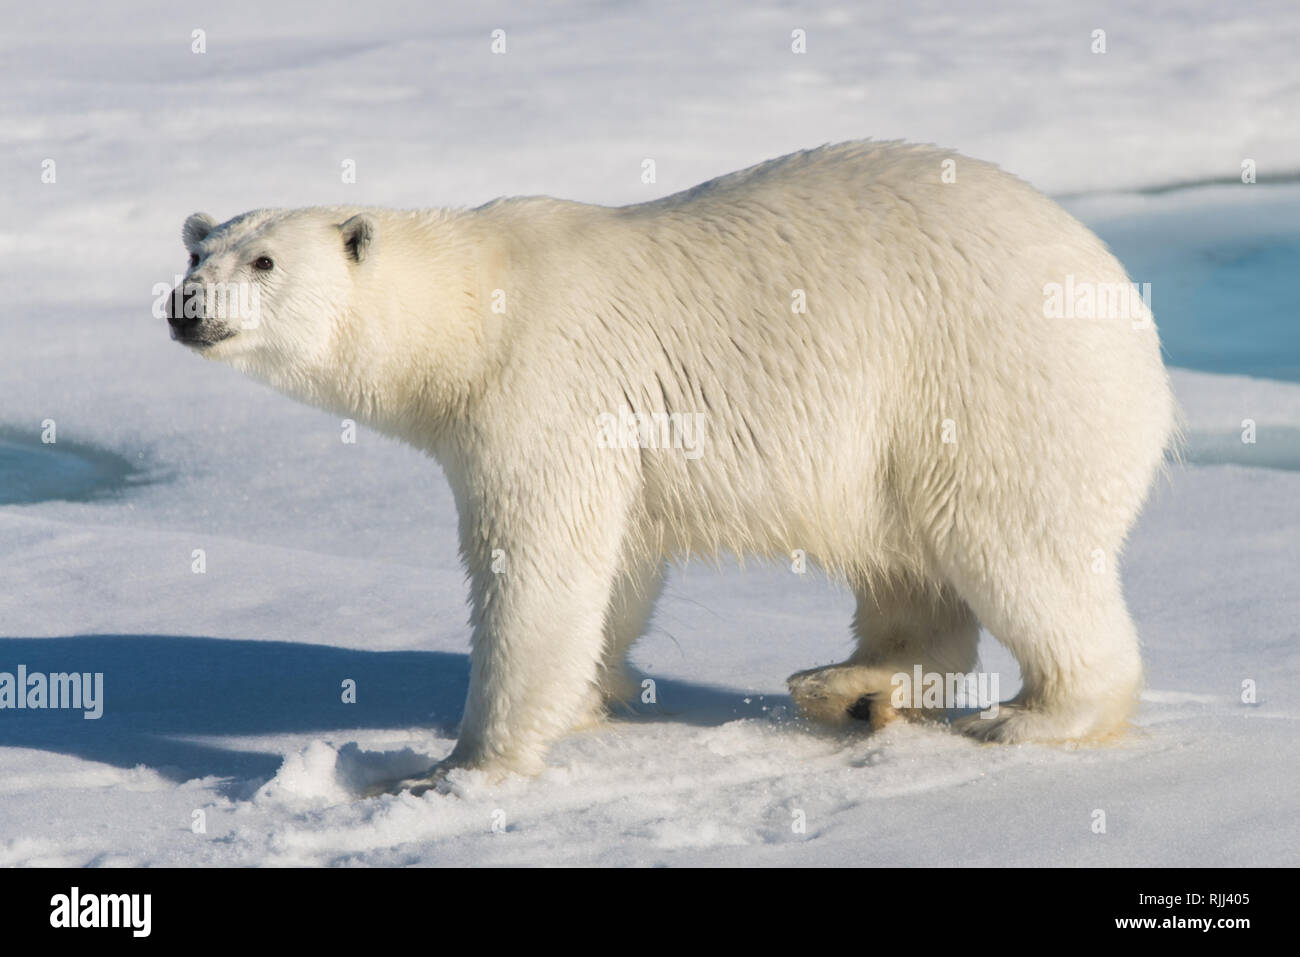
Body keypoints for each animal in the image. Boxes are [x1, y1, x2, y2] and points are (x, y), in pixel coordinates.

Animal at [167, 140, 1175, 790]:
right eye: (197, 248)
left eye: (264, 261)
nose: (187, 306)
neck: (473, 309)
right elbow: (618, 564)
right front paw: (589, 696)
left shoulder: (543, 386)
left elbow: (539, 562)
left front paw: (459, 766)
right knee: (906, 571)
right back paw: (846, 685)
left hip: (987, 383)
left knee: (1016, 545)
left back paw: (1033, 714)